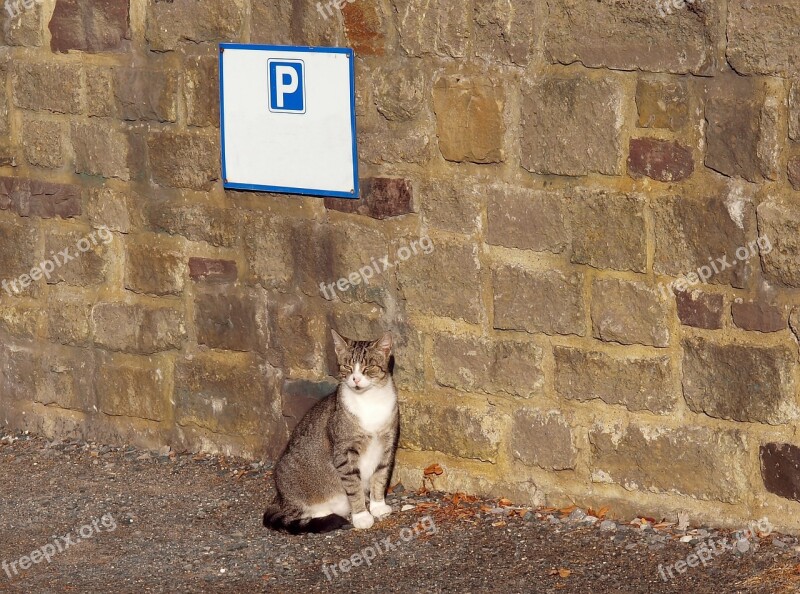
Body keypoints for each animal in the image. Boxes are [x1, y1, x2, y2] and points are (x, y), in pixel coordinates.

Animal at [264, 328, 398, 532]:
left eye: (368, 367)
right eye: (347, 367)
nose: (355, 379)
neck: (370, 401)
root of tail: (280, 498)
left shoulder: (387, 445)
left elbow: (380, 477)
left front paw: (378, 506)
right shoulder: (344, 451)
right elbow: (353, 485)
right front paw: (361, 516)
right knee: (303, 513)